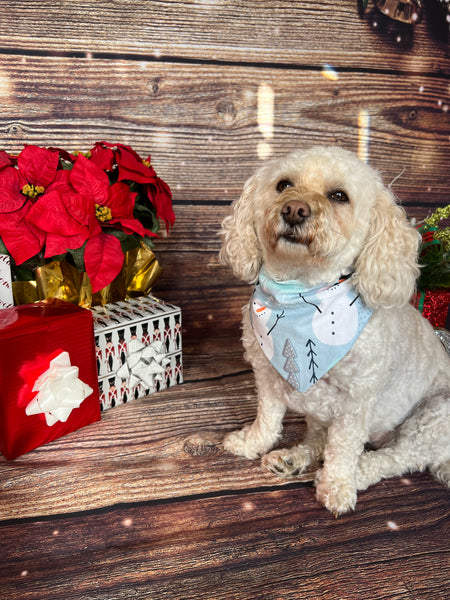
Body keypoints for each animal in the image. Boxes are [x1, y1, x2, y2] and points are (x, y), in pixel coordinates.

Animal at [221, 146, 450, 516]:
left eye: (339, 196)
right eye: (283, 185)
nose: (294, 209)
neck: (301, 292)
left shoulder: (356, 403)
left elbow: (343, 448)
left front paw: (337, 486)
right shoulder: (267, 379)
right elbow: (268, 419)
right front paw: (251, 442)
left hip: (435, 415)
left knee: (400, 457)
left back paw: (359, 472)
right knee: (319, 439)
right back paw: (292, 458)